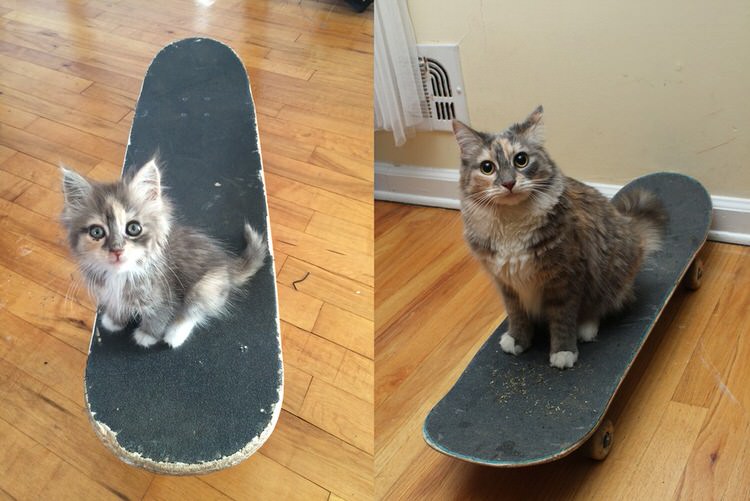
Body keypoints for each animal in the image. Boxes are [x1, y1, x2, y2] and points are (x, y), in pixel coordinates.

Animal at [61, 159, 268, 348]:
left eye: (133, 228)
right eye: (97, 232)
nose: (117, 250)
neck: (122, 275)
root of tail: (228, 266)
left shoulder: (166, 294)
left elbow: (159, 315)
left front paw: (147, 335)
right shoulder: (112, 294)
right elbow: (118, 305)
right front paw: (114, 320)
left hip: (206, 286)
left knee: (196, 310)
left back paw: (175, 333)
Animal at [456, 107, 668, 370]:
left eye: (521, 160)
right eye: (487, 167)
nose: (508, 183)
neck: (511, 224)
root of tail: (631, 226)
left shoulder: (565, 279)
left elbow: (562, 320)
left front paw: (563, 352)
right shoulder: (507, 284)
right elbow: (517, 316)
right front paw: (517, 340)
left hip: (611, 270)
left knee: (602, 306)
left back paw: (585, 329)